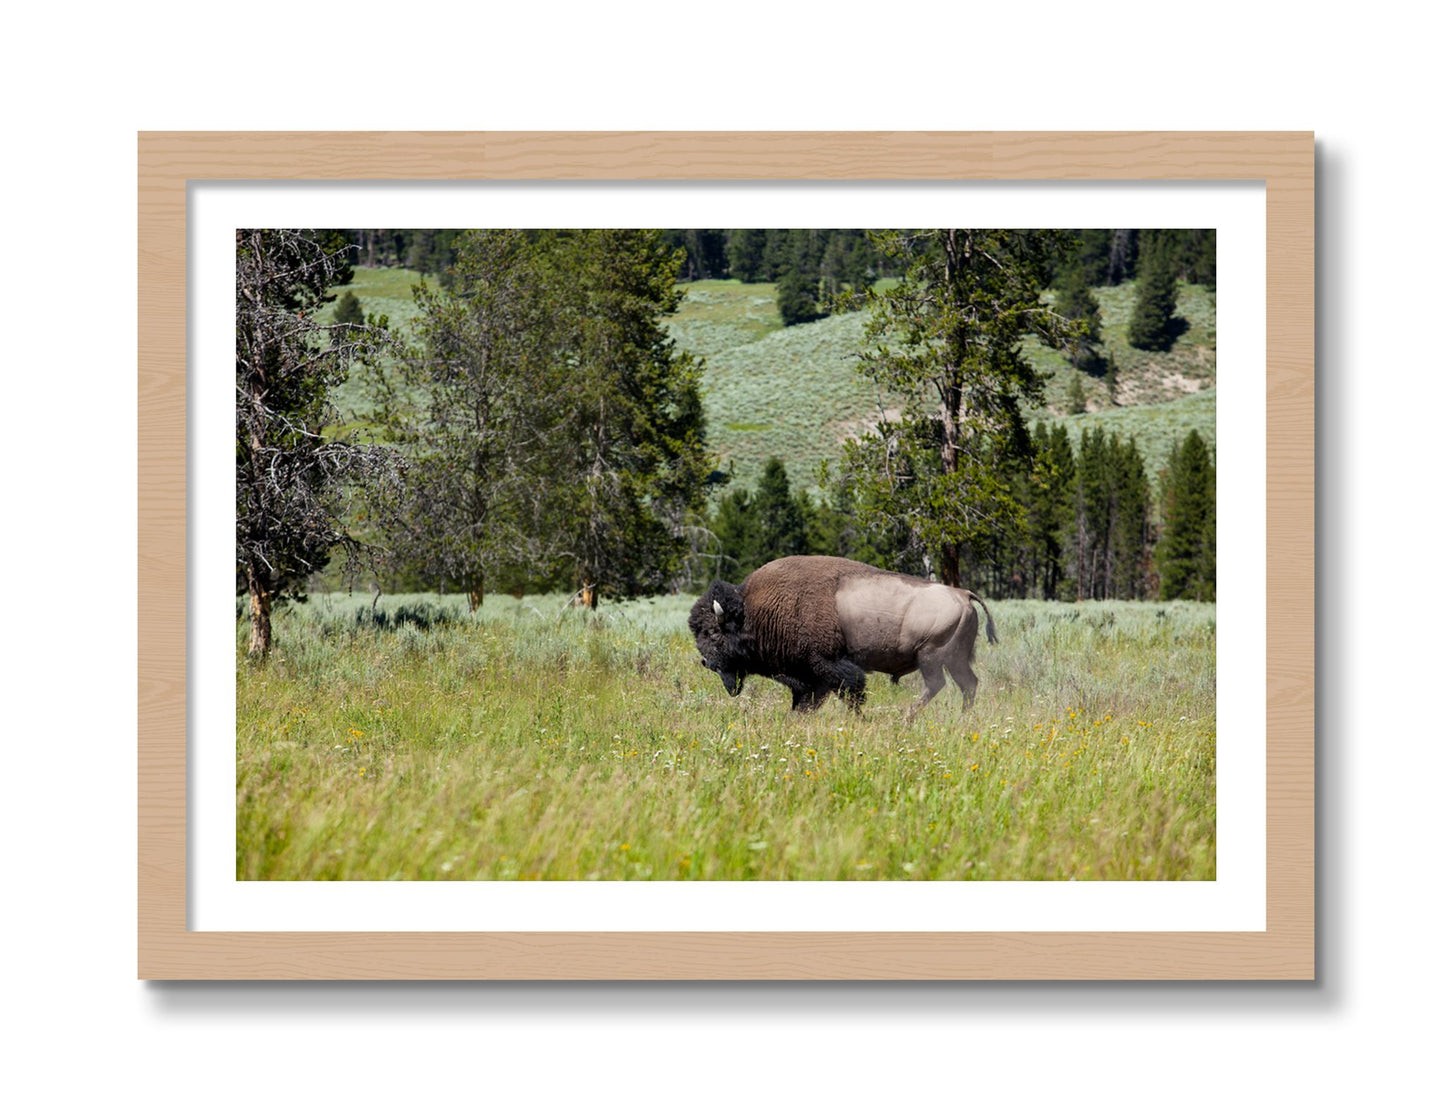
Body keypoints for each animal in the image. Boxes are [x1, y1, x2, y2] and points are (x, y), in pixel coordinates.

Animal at [687, 555, 997, 717]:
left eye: (713, 633)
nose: (706, 662)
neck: (754, 610)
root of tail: (963, 594)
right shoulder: (810, 677)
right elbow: (807, 702)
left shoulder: (828, 665)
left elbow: (851, 692)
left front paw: (860, 719)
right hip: (954, 659)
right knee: (968, 684)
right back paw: (962, 717)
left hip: (931, 656)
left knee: (938, 684)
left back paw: (907, 717)